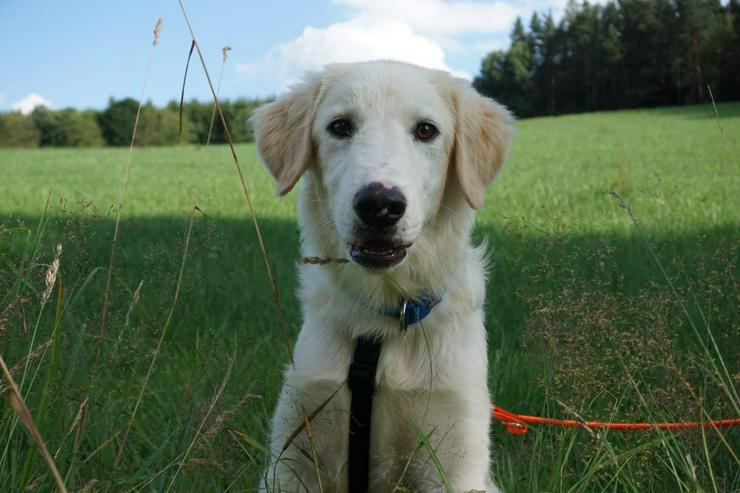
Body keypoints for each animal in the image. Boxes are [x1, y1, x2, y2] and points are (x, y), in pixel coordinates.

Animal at [251, 61, 512, 492]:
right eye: (340, 126)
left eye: (426, 130)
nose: (380, 205)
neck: (385, 319)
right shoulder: (294, 452)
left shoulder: (455, 452)